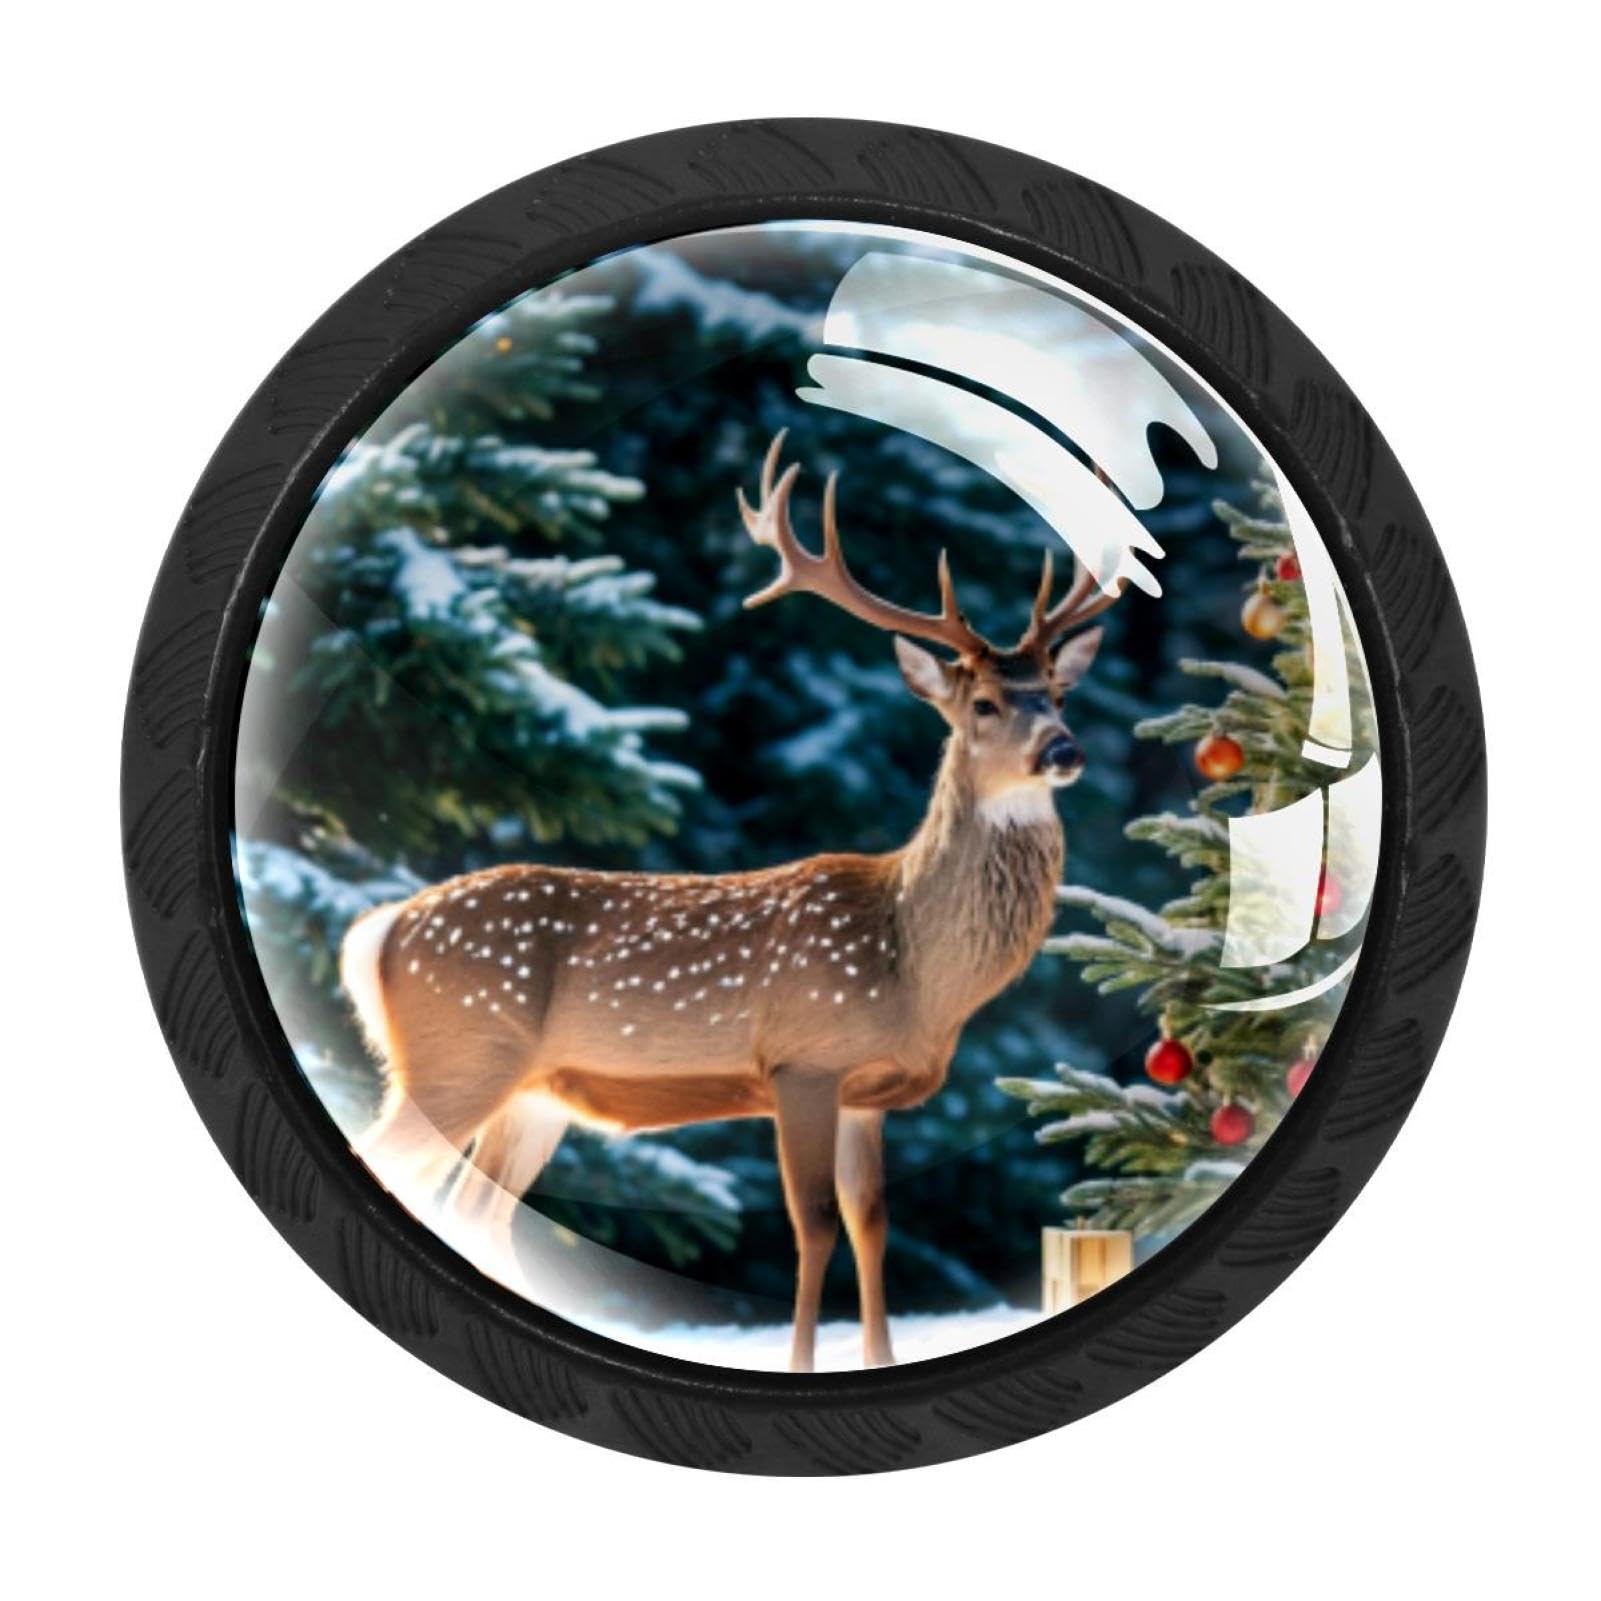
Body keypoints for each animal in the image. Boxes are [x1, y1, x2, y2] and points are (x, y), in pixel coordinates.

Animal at [341, 432, 1125, 1371]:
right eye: (982, 701)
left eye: (1059, 691)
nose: (1064, 749)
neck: (913, 964)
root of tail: (379, 929)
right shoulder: (802, 1058)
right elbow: (813, 1226)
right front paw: (800, 1366)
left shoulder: (866, 1093)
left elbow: (870, 1226)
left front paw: (878, 1359)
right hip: (457, 1056)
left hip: (531, 1092)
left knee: (476, 1211)